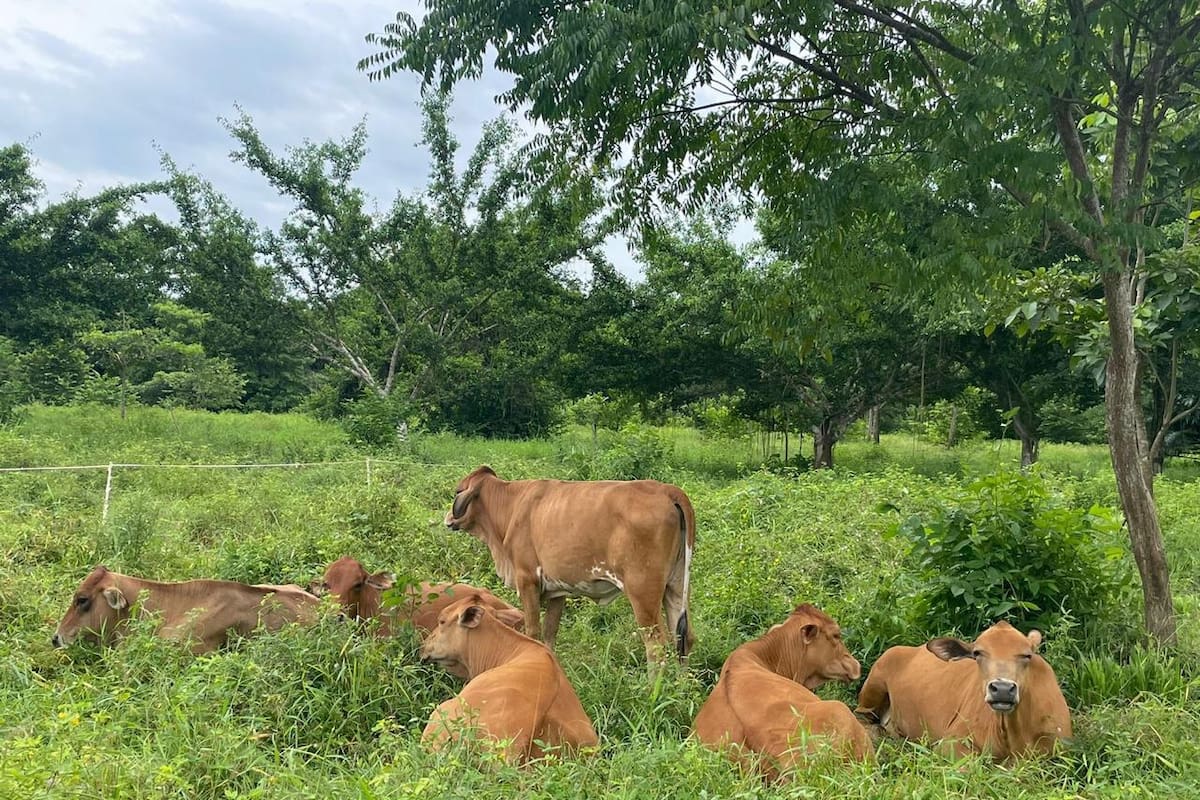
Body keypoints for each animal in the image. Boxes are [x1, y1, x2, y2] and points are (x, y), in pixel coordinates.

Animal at [445, 465, 695, 663]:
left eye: (457, 491)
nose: (448, 518)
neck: (511, 506)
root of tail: (667, 490)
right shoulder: (557, 591)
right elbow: (550, 634)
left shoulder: (527, 581)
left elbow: (533, 632)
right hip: (675, 585)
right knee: (684, 638)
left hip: (642, 592)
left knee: (657, 646)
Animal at [854, 621, 1072, 760]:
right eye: (977, 653)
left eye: (1027, 655)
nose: (1002, 689)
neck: (1012, 735)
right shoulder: (951, 742)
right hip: (874, 685)